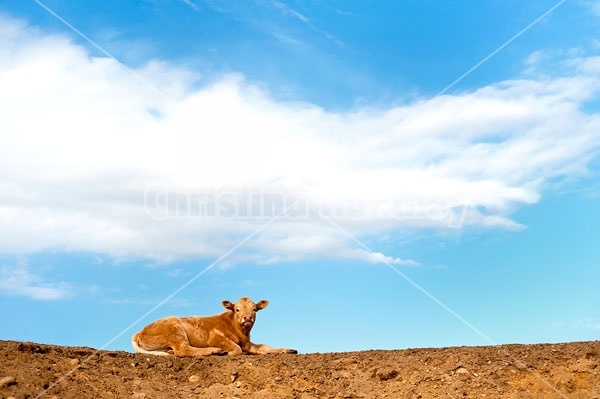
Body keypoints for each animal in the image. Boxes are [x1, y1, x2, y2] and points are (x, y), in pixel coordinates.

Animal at [132, 298, 298, 358]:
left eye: (254, 309)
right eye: (237, 309)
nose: (247, 318)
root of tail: (140, 331)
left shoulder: (248, 343)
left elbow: (264, 346)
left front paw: (287, 350)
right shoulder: (215, 337)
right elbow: (236, 349)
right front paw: (226, 352)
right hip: (175, 328)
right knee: (183, 350)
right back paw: (215, 351)